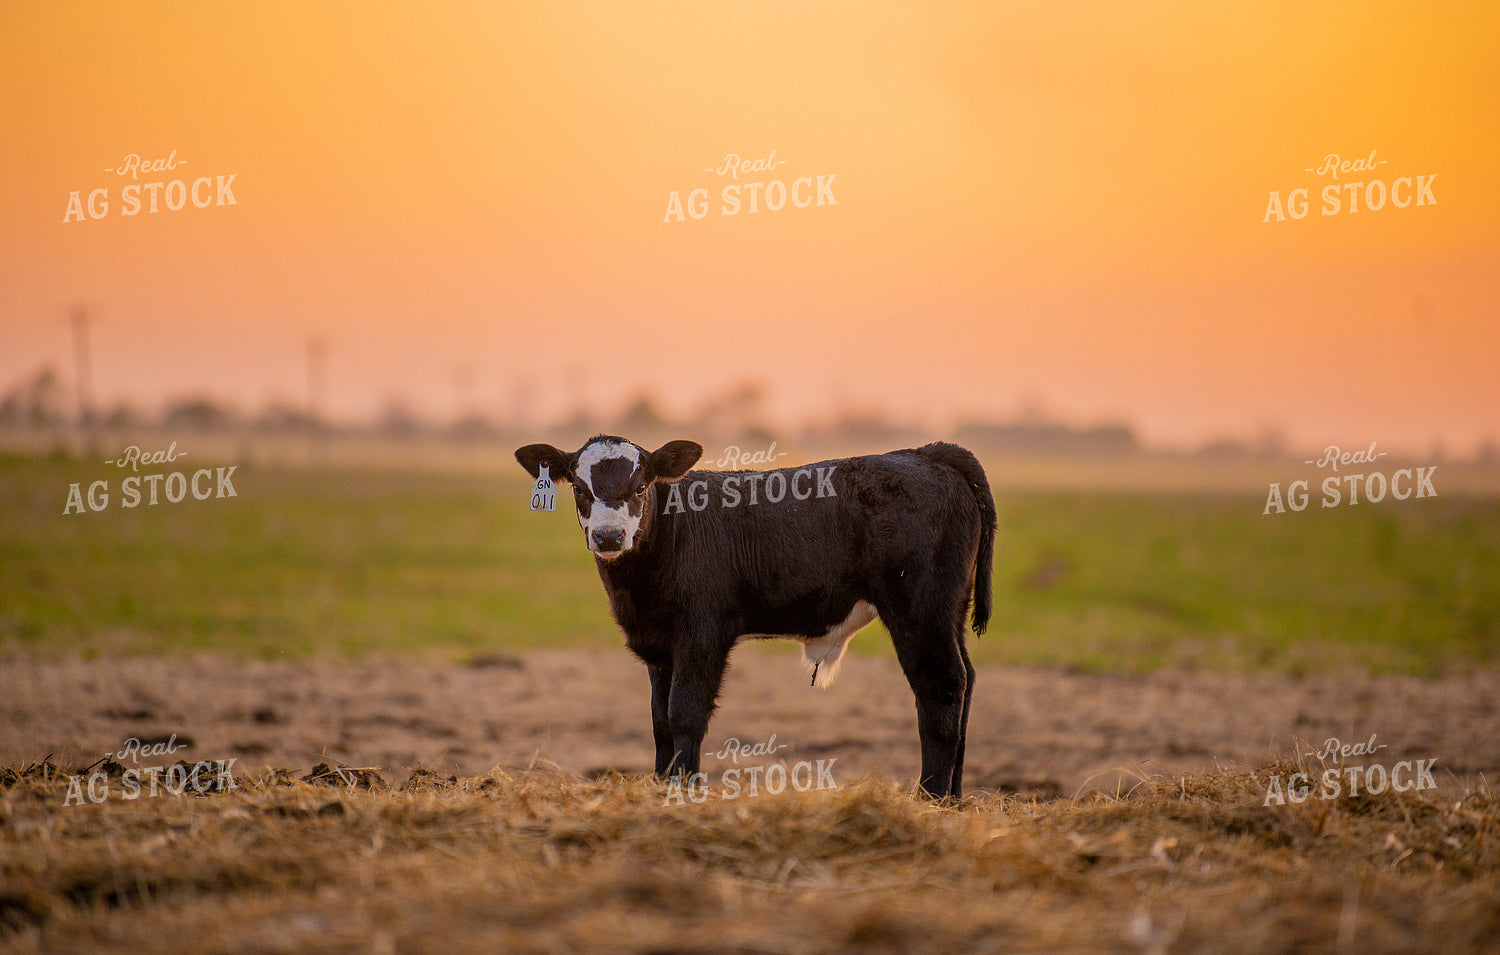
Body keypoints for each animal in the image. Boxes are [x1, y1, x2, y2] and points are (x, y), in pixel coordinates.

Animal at [514, 434, 997, 799]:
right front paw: (662, 786)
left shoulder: (702, 636)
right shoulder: (660, 648)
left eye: (639, 488)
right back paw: (953, 798)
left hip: (920, 610)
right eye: (580, 489)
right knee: (968, 679)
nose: (609, 535)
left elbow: (684, 713)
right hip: (949, 611)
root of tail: (925, 453)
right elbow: (659, 721)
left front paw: (685, 791)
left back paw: (931, 797)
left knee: (942, 686)